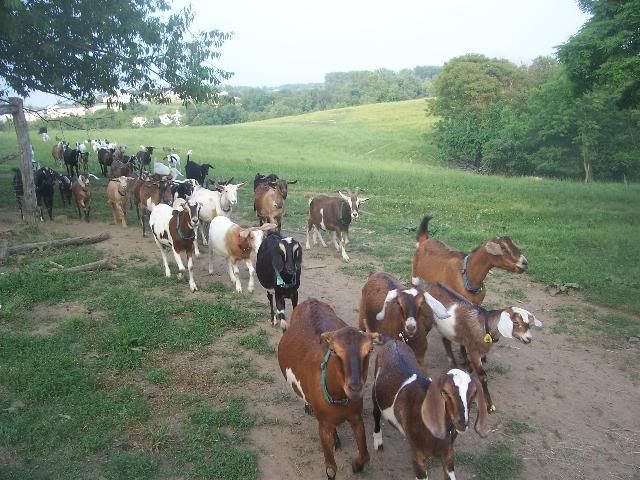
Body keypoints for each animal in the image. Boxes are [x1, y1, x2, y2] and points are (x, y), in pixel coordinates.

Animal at [277, 298, 379, 480]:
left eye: (370, 349)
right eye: (333, 350)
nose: (355, 387)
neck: (338, 397)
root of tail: (310, 300)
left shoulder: (355, 416)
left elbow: (365, 455)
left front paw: (356, 465)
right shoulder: (323, 425)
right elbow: (331, 468)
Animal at [372, 339, 489, 480]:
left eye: (474, 393)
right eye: (445, 392)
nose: (462, 423)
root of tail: (394, 341)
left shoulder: (448, 453)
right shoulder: (418, 456)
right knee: (376, 414)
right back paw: (378, 442)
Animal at [414, 280, 542, 413]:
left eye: (528, 323)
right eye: (515, 322)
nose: (528, 339)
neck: (486, 326)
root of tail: (425, 286)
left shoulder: (478, 350)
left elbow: (471, 366)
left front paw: (466, 371)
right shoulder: (474, 351)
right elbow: (483, 376)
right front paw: (490, 405)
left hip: (446, 329)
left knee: (445, 341)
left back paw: (453, 364)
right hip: (426, 320)